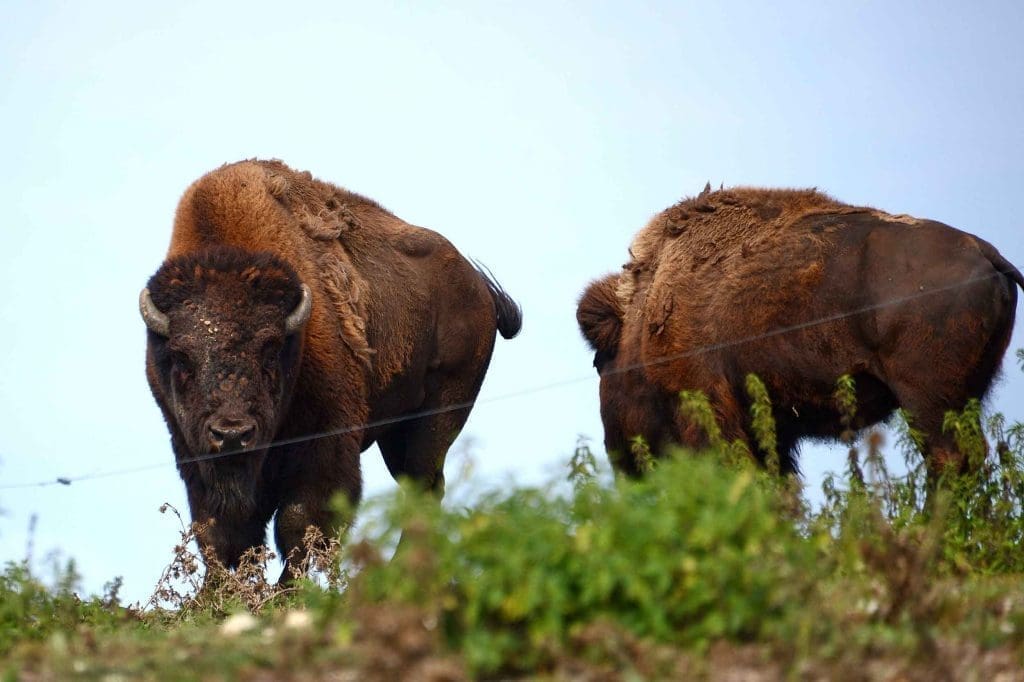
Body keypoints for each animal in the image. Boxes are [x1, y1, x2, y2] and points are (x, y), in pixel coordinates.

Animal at [141, 159, 521, 581]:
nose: (232, 434)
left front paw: (288, 591)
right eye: (181, 356)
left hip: (438, 417)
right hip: (396, 432)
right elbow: (217, 533)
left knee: (425, 488)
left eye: (270, 349)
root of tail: (480, 290)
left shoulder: (327, 444)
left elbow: (298, 522)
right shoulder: (191, 452)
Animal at [578, 186, 1022, 481]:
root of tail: (987, 254)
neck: (642, 316)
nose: (619, 460)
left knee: (948, 460)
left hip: (927, 400)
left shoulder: (709, 410)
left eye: (600, 364)